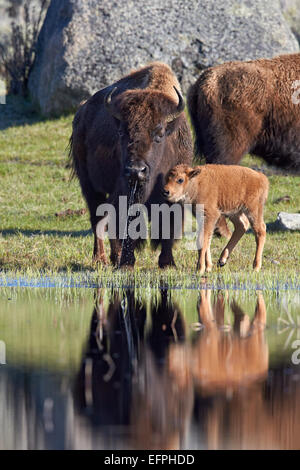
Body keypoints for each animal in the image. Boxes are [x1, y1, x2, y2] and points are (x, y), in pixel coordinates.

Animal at [69, 63, 192, 268]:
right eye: (121, 132)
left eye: (159, 134)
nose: (136, 171)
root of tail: (81, 112)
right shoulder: (126, 192)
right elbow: (127, 224)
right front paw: (126, 263)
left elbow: (169, 224)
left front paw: (168, 263)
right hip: (89, 184)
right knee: (97, 218)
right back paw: (102, 259)